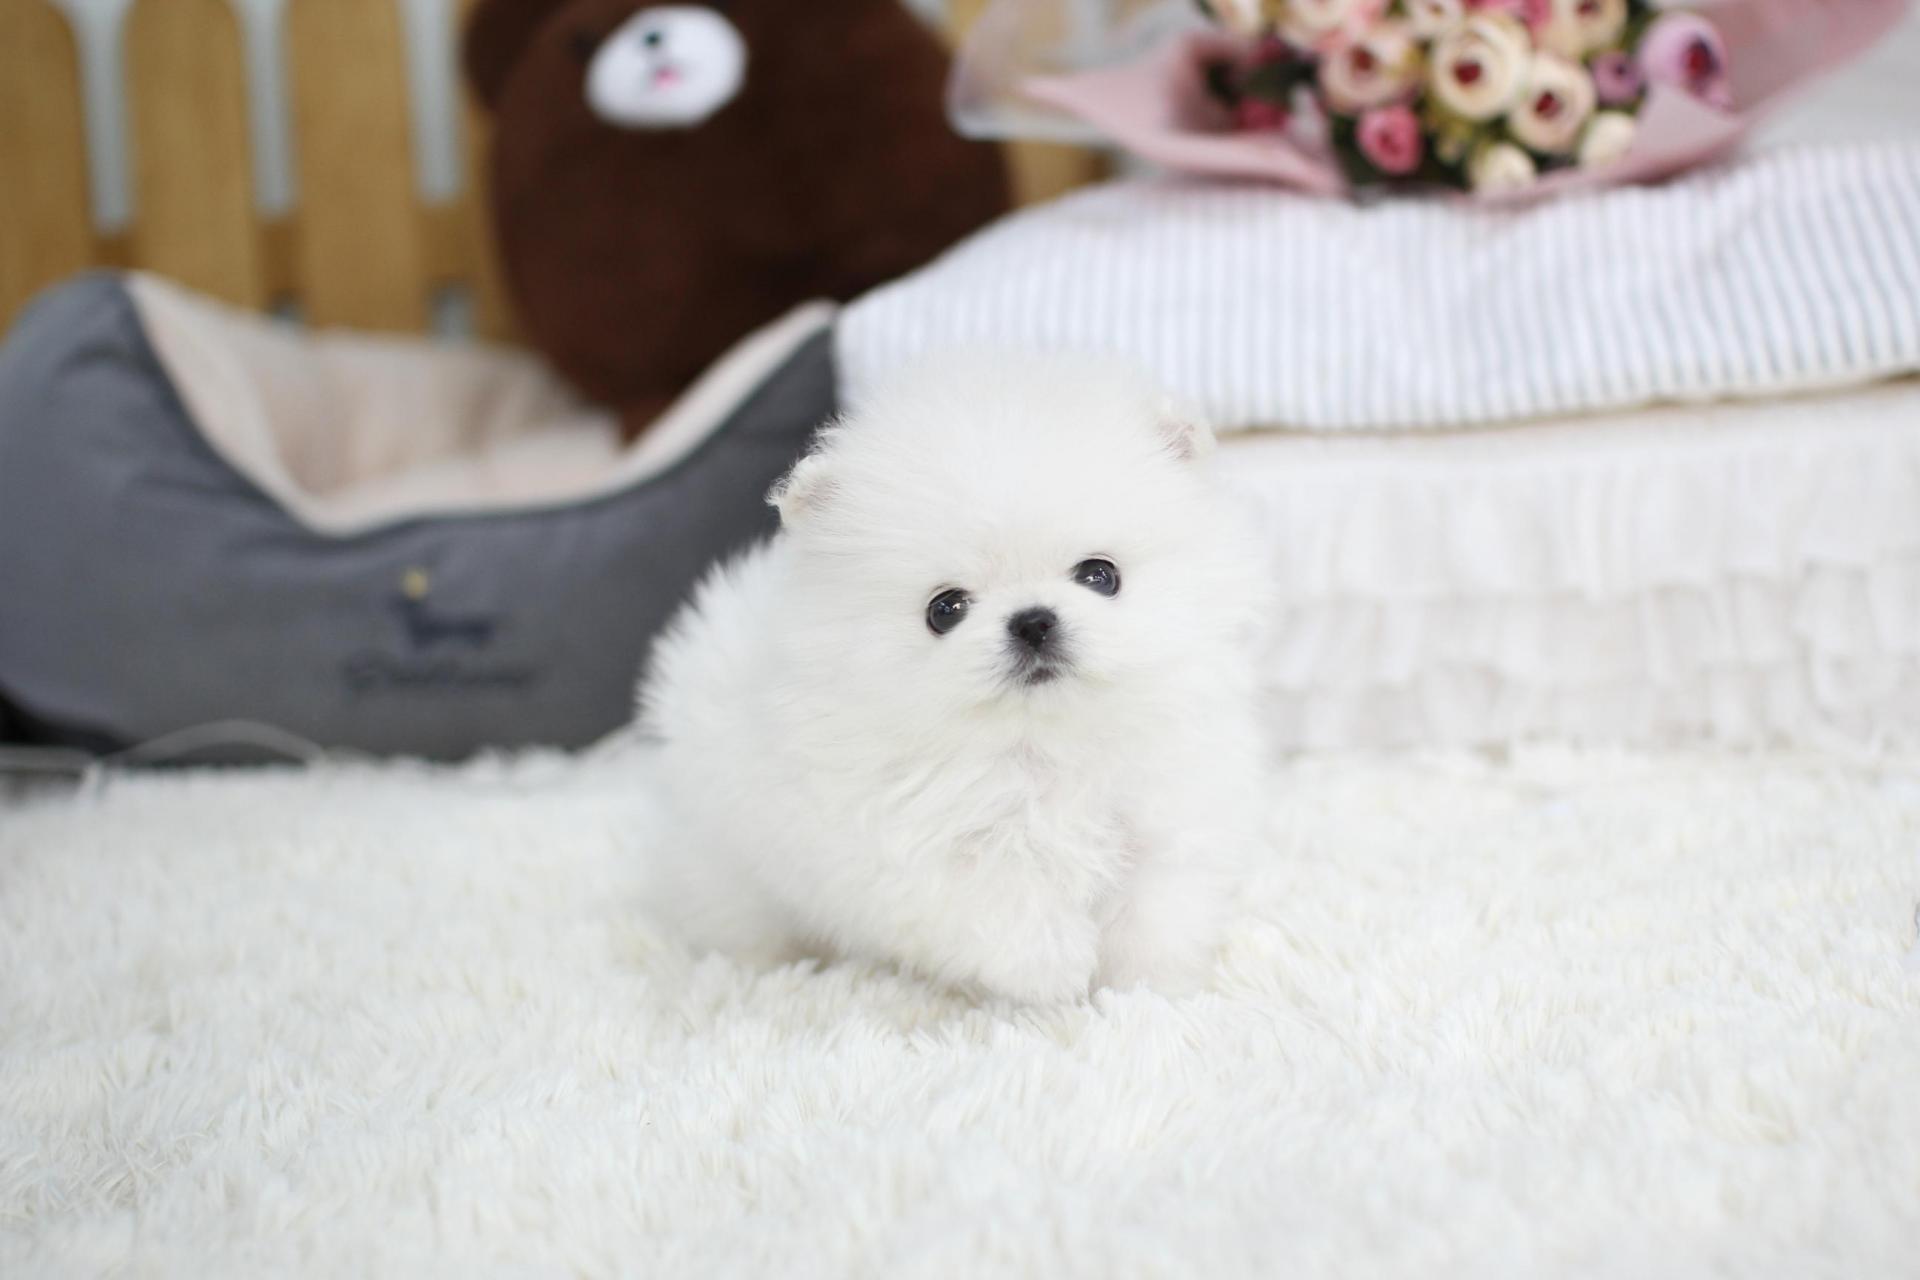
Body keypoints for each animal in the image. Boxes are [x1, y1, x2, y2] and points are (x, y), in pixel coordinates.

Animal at [636, 353, 1269, 1001]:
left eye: (1101, 576)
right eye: (945, 610)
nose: (1033, 621)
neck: (1039, 746)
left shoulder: (1163, 822)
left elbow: (1153, 911)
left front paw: (1144, 991)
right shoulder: (909, 851)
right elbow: (999, 904)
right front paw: (1058, 973)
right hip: (729, 870)